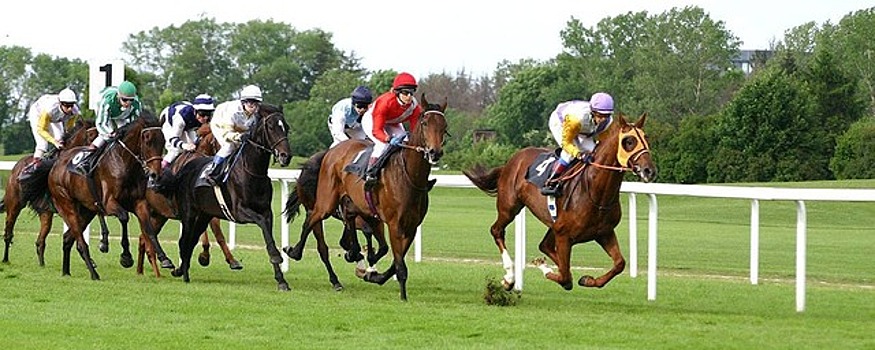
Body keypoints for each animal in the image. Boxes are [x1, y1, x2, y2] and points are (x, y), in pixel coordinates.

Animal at [156, 103, 292, 290]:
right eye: (271, 127)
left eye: (286, 127)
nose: (286, 156)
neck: (251, 172)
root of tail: (185, 168)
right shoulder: (239, 212)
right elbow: (261, 225)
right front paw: (277, 258)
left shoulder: (266, 212)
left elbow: (268, 235)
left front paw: (281, 280)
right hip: (188, 213)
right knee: (182, 240)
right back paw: (181, 272)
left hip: (203, 215)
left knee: (190, 240)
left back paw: (180, 269)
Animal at [294, 94, 448, 300]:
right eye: (424, 123)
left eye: (444, 125)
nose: (434, 152)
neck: (408, 176)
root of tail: (332, 152)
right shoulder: (394, 224)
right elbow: (398, 263)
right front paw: (403, 296)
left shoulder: (411, 226)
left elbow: (393, 260)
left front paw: (373, 274)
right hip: (326, 203)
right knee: (312, 225)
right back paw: (295, 252)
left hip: (358, 208)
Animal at [466, 113, 656, 292]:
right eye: (629, 141)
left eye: (646, 139)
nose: (649, 171)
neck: (595, 192)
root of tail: (512, 161)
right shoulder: (564, 236)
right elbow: (565, 277)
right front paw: (543, 267)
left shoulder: (604, 232)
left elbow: (619, 264)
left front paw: (587, 280)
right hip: (509, 208)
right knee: (497, 231)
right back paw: (509, 278)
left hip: (553, 224)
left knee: (545, 245)